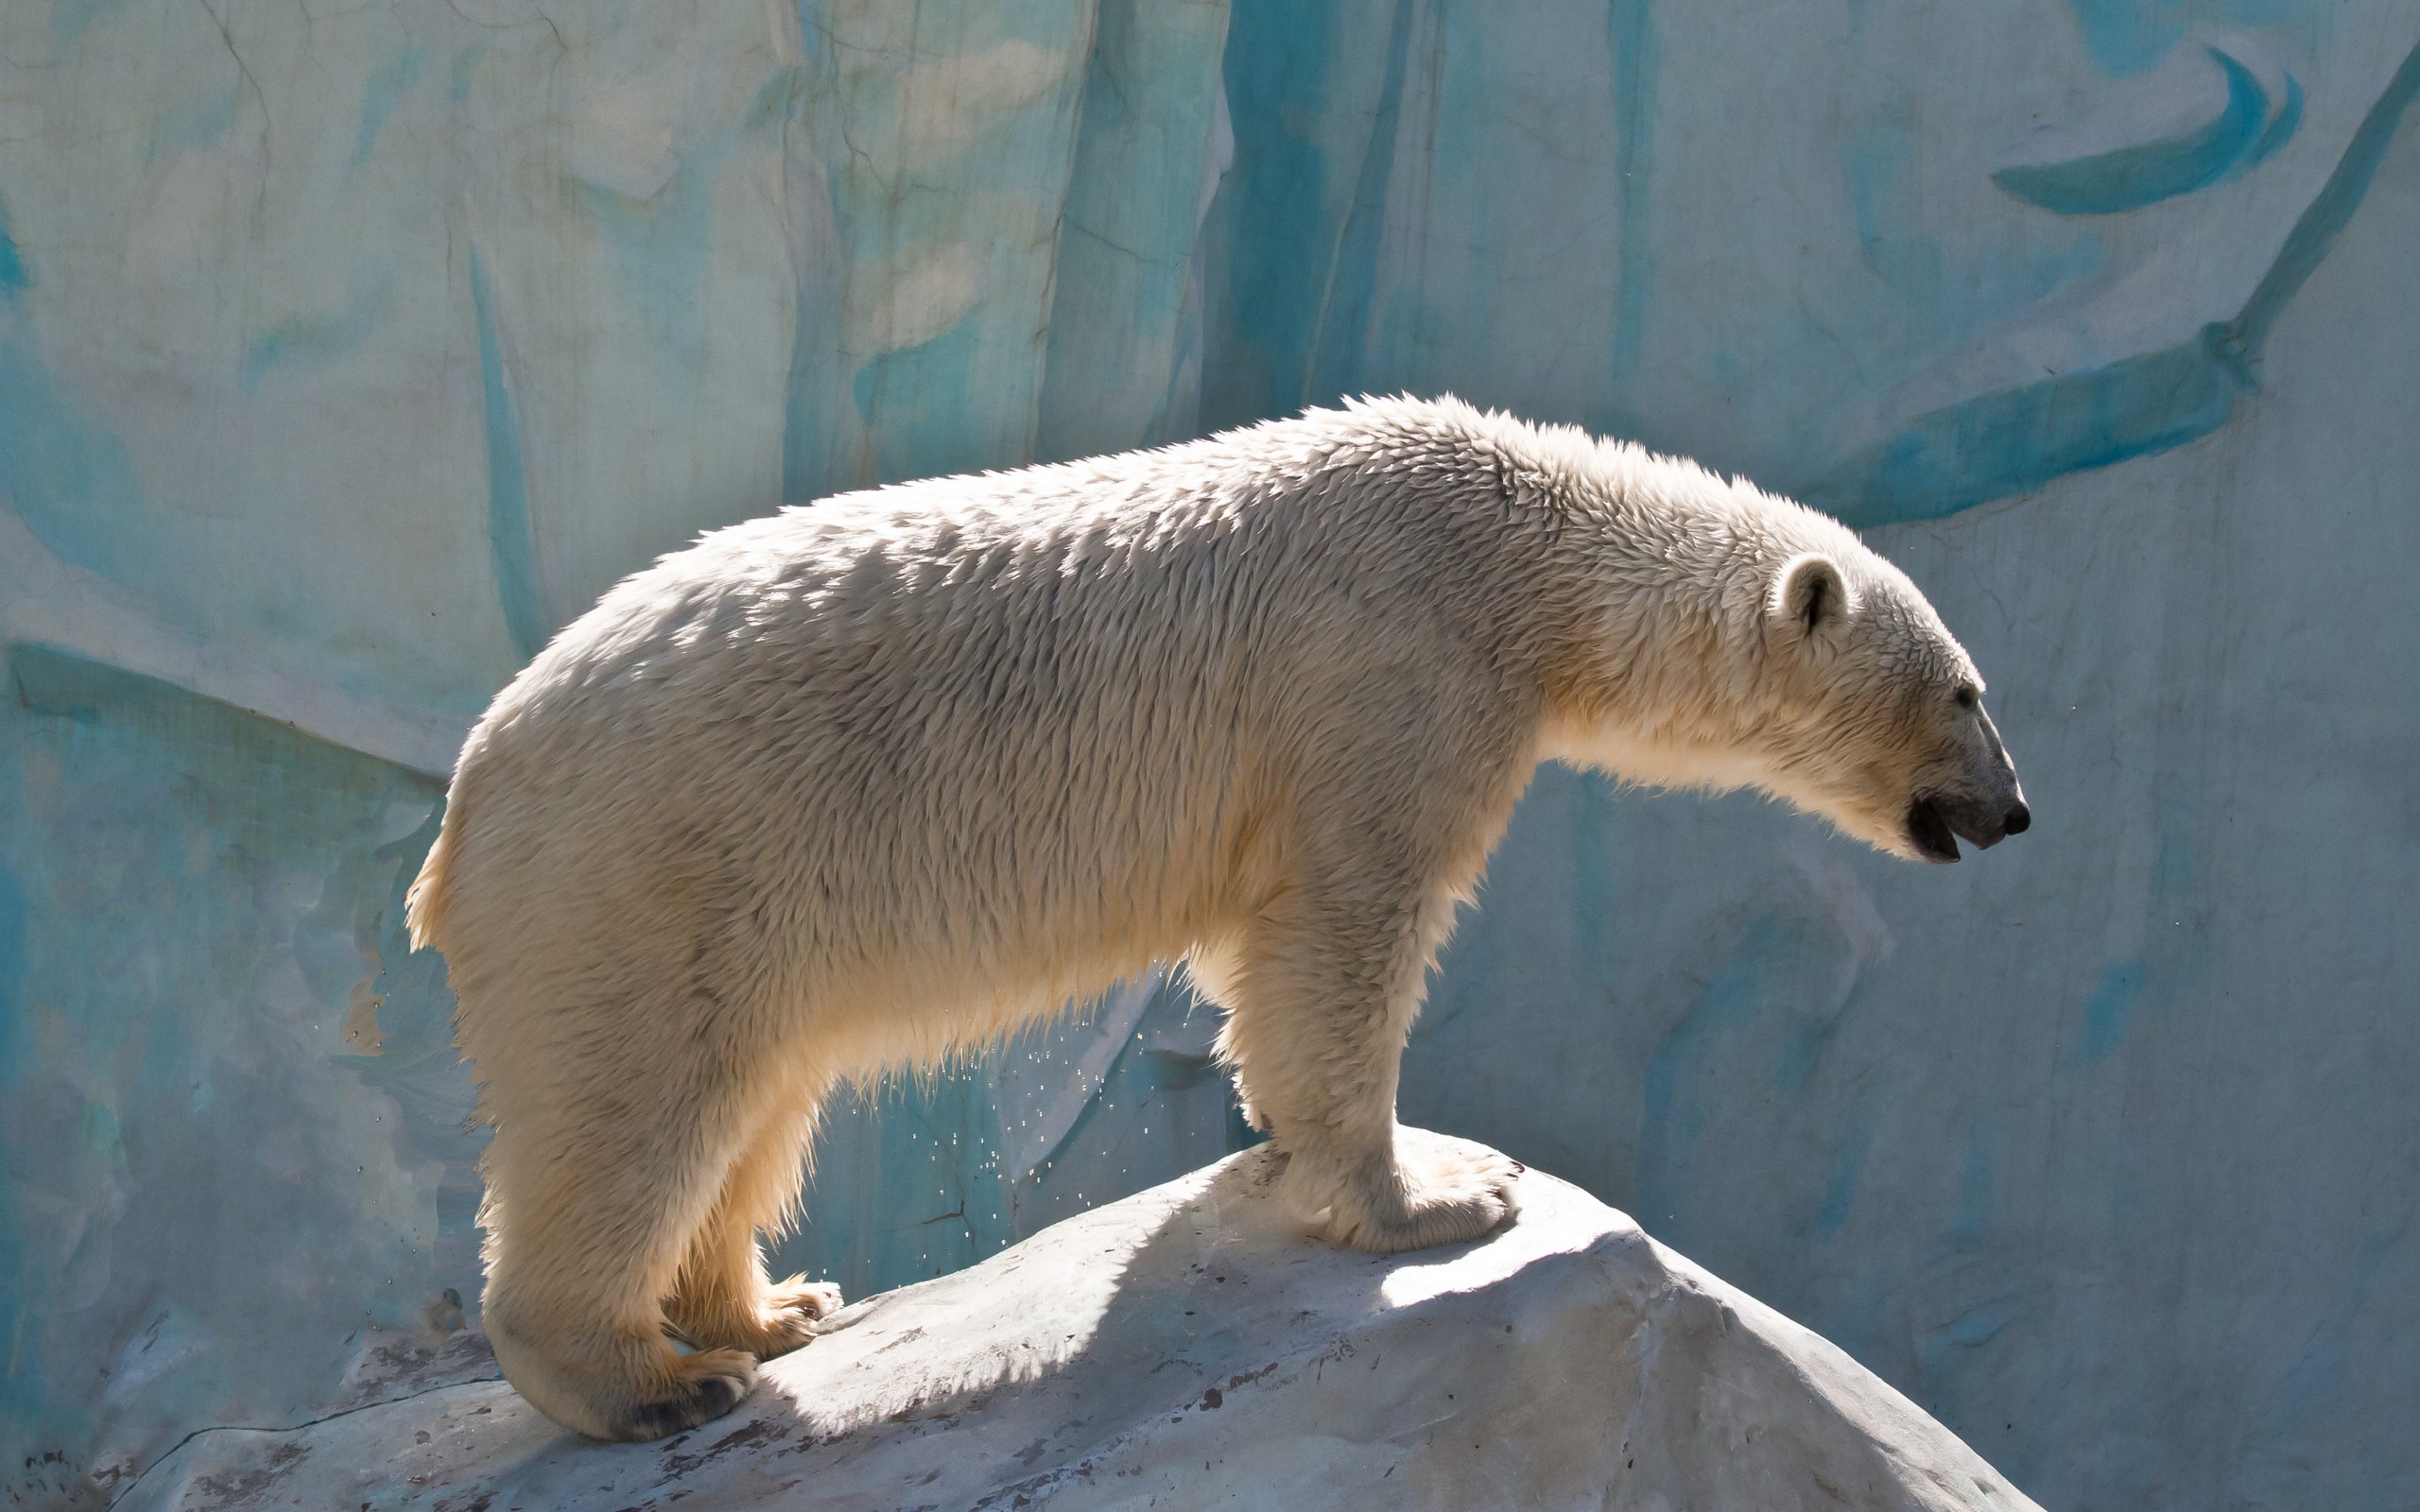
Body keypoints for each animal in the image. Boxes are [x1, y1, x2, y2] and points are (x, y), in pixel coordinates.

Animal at [411, 394, 2023, 1432]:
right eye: (1964, 691)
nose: (2013, 812)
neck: (1521, 552)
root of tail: (468, 795)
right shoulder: (1394, 669)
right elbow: (1344, 926)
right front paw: (1443, 1195)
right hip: (649, 867)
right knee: (637, 1104)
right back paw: (654, 1383)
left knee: (755, 1102)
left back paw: (776, 1306)